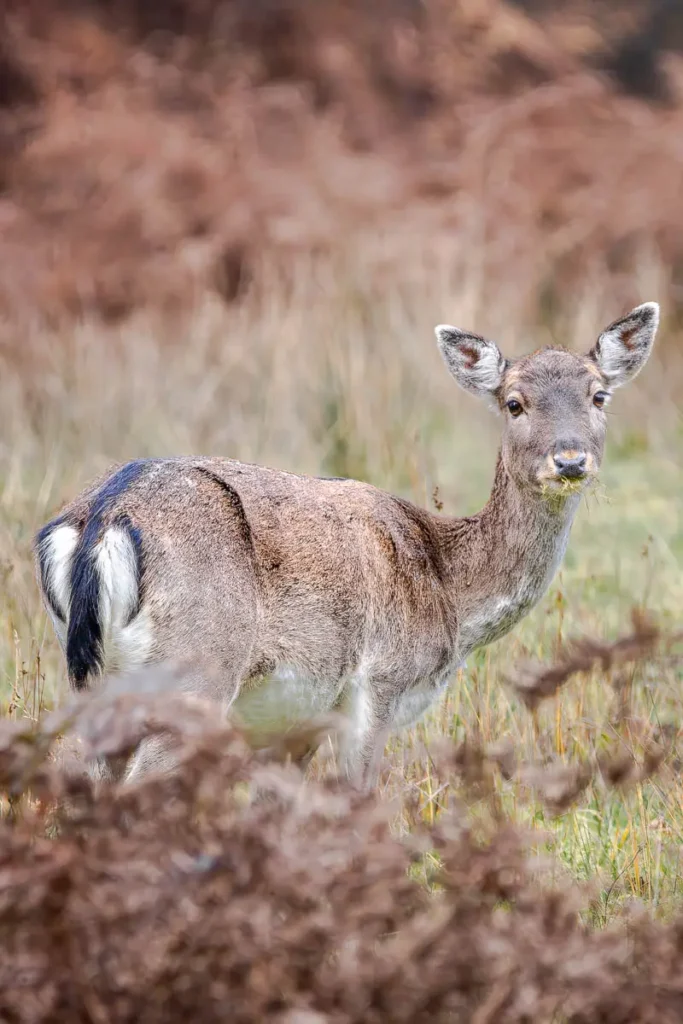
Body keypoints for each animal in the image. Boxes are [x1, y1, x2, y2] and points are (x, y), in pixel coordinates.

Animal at [34, 302, 659, 789]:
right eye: (513, 402)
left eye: (599, 396)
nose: (570, 460)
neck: (450, 594)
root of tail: (102, 518)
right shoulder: (378, 682)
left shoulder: (298, 719)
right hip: (197, 666)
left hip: (94, 679)